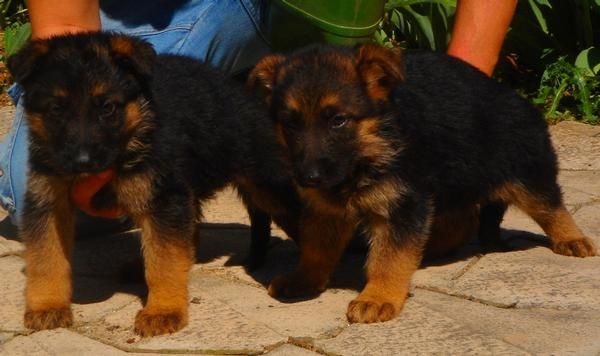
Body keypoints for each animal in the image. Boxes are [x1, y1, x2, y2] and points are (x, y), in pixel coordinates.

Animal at [8, 32, 300, 336]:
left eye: (108, 108)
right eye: (55, 109)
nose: (82, 161)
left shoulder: (163, 198)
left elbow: (165, 259)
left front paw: (163, 310)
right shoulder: (47, 203)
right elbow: (46, 258)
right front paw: (47, 305)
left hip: (268, 183)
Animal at [248, 43, 596, 322]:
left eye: (338, 121)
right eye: (290, 123)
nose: (308, 178)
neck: (369, 150)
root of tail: (520, 100)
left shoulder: (403, 204)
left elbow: (389, 257)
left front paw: (378, 297)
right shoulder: (326, 210)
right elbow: (316, 248)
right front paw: (304, 279)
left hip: (527, 172)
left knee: (551, 206)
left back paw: (572, 239)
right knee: (463, 222)